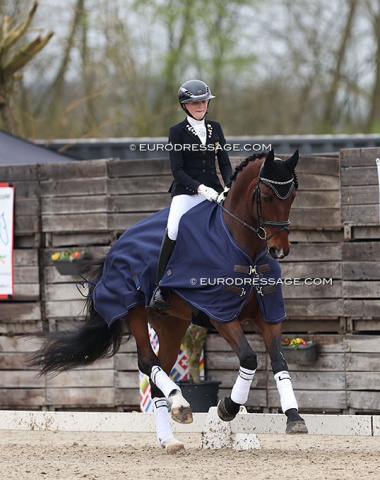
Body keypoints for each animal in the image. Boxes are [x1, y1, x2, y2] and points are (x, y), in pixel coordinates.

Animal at [29, 150, 308, 454]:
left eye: (292, 197)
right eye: (266, 197)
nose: (279, 250)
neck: (245, 251)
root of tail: (116, 248)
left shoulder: (268, 314)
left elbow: (279, 361)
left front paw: (294, 418)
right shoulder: (220, 315)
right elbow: (248, 357)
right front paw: (228, 407)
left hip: (171, 323)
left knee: (158, 371)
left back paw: (170, 434)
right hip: (135, 312)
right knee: (147, 362)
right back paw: (180, 402)